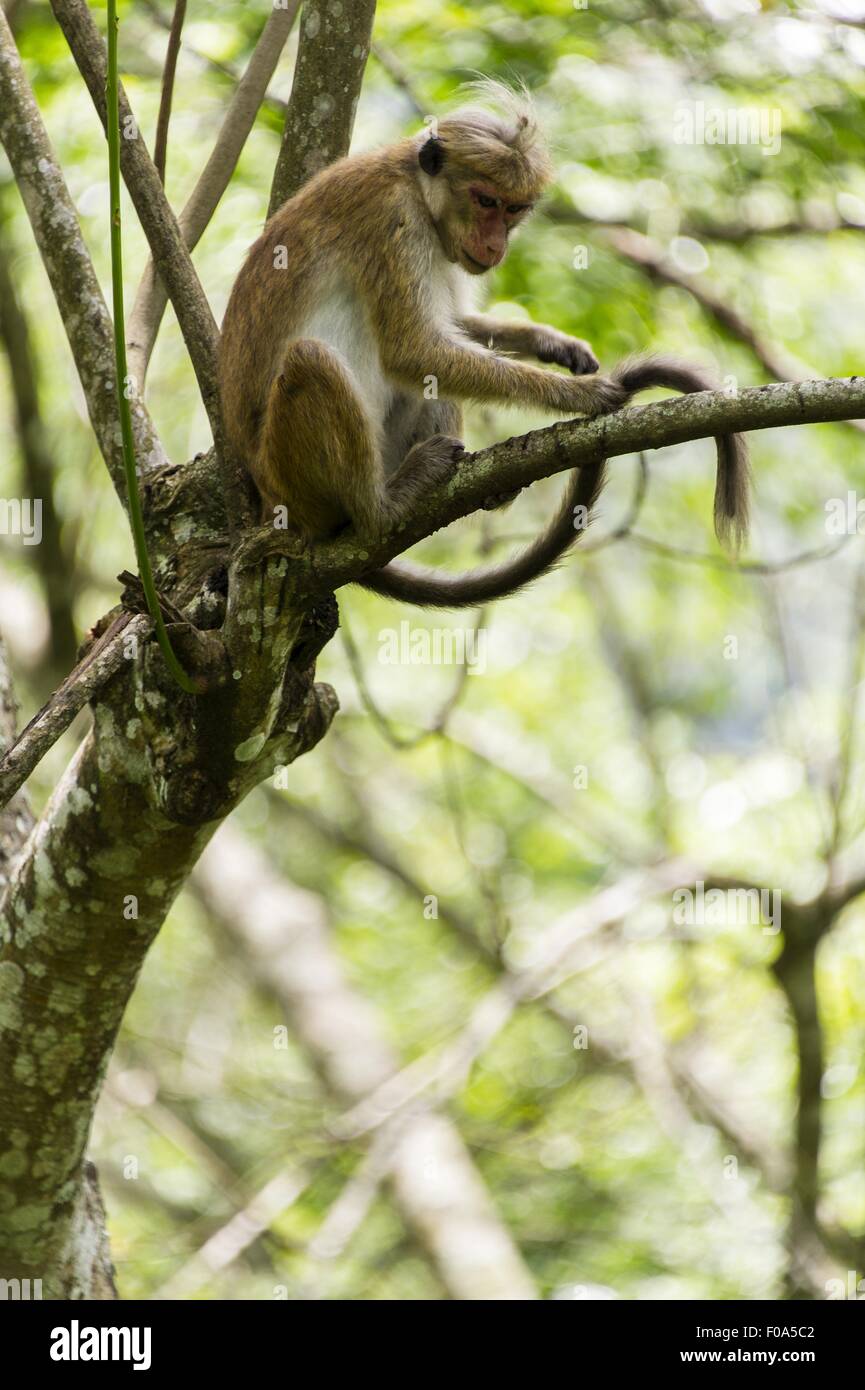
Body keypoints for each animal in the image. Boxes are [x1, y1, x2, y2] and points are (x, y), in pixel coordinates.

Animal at [219, 84, 750, 606]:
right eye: (485, 201)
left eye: (513, 209)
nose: (496, 245)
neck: (417, 189)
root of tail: (270, 506)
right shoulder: (392, 218)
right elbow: (413, 349)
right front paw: (581, 394)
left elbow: (449, 331)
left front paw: (550, 343)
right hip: (292, 483)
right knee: (312, 360)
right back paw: (381, 510)